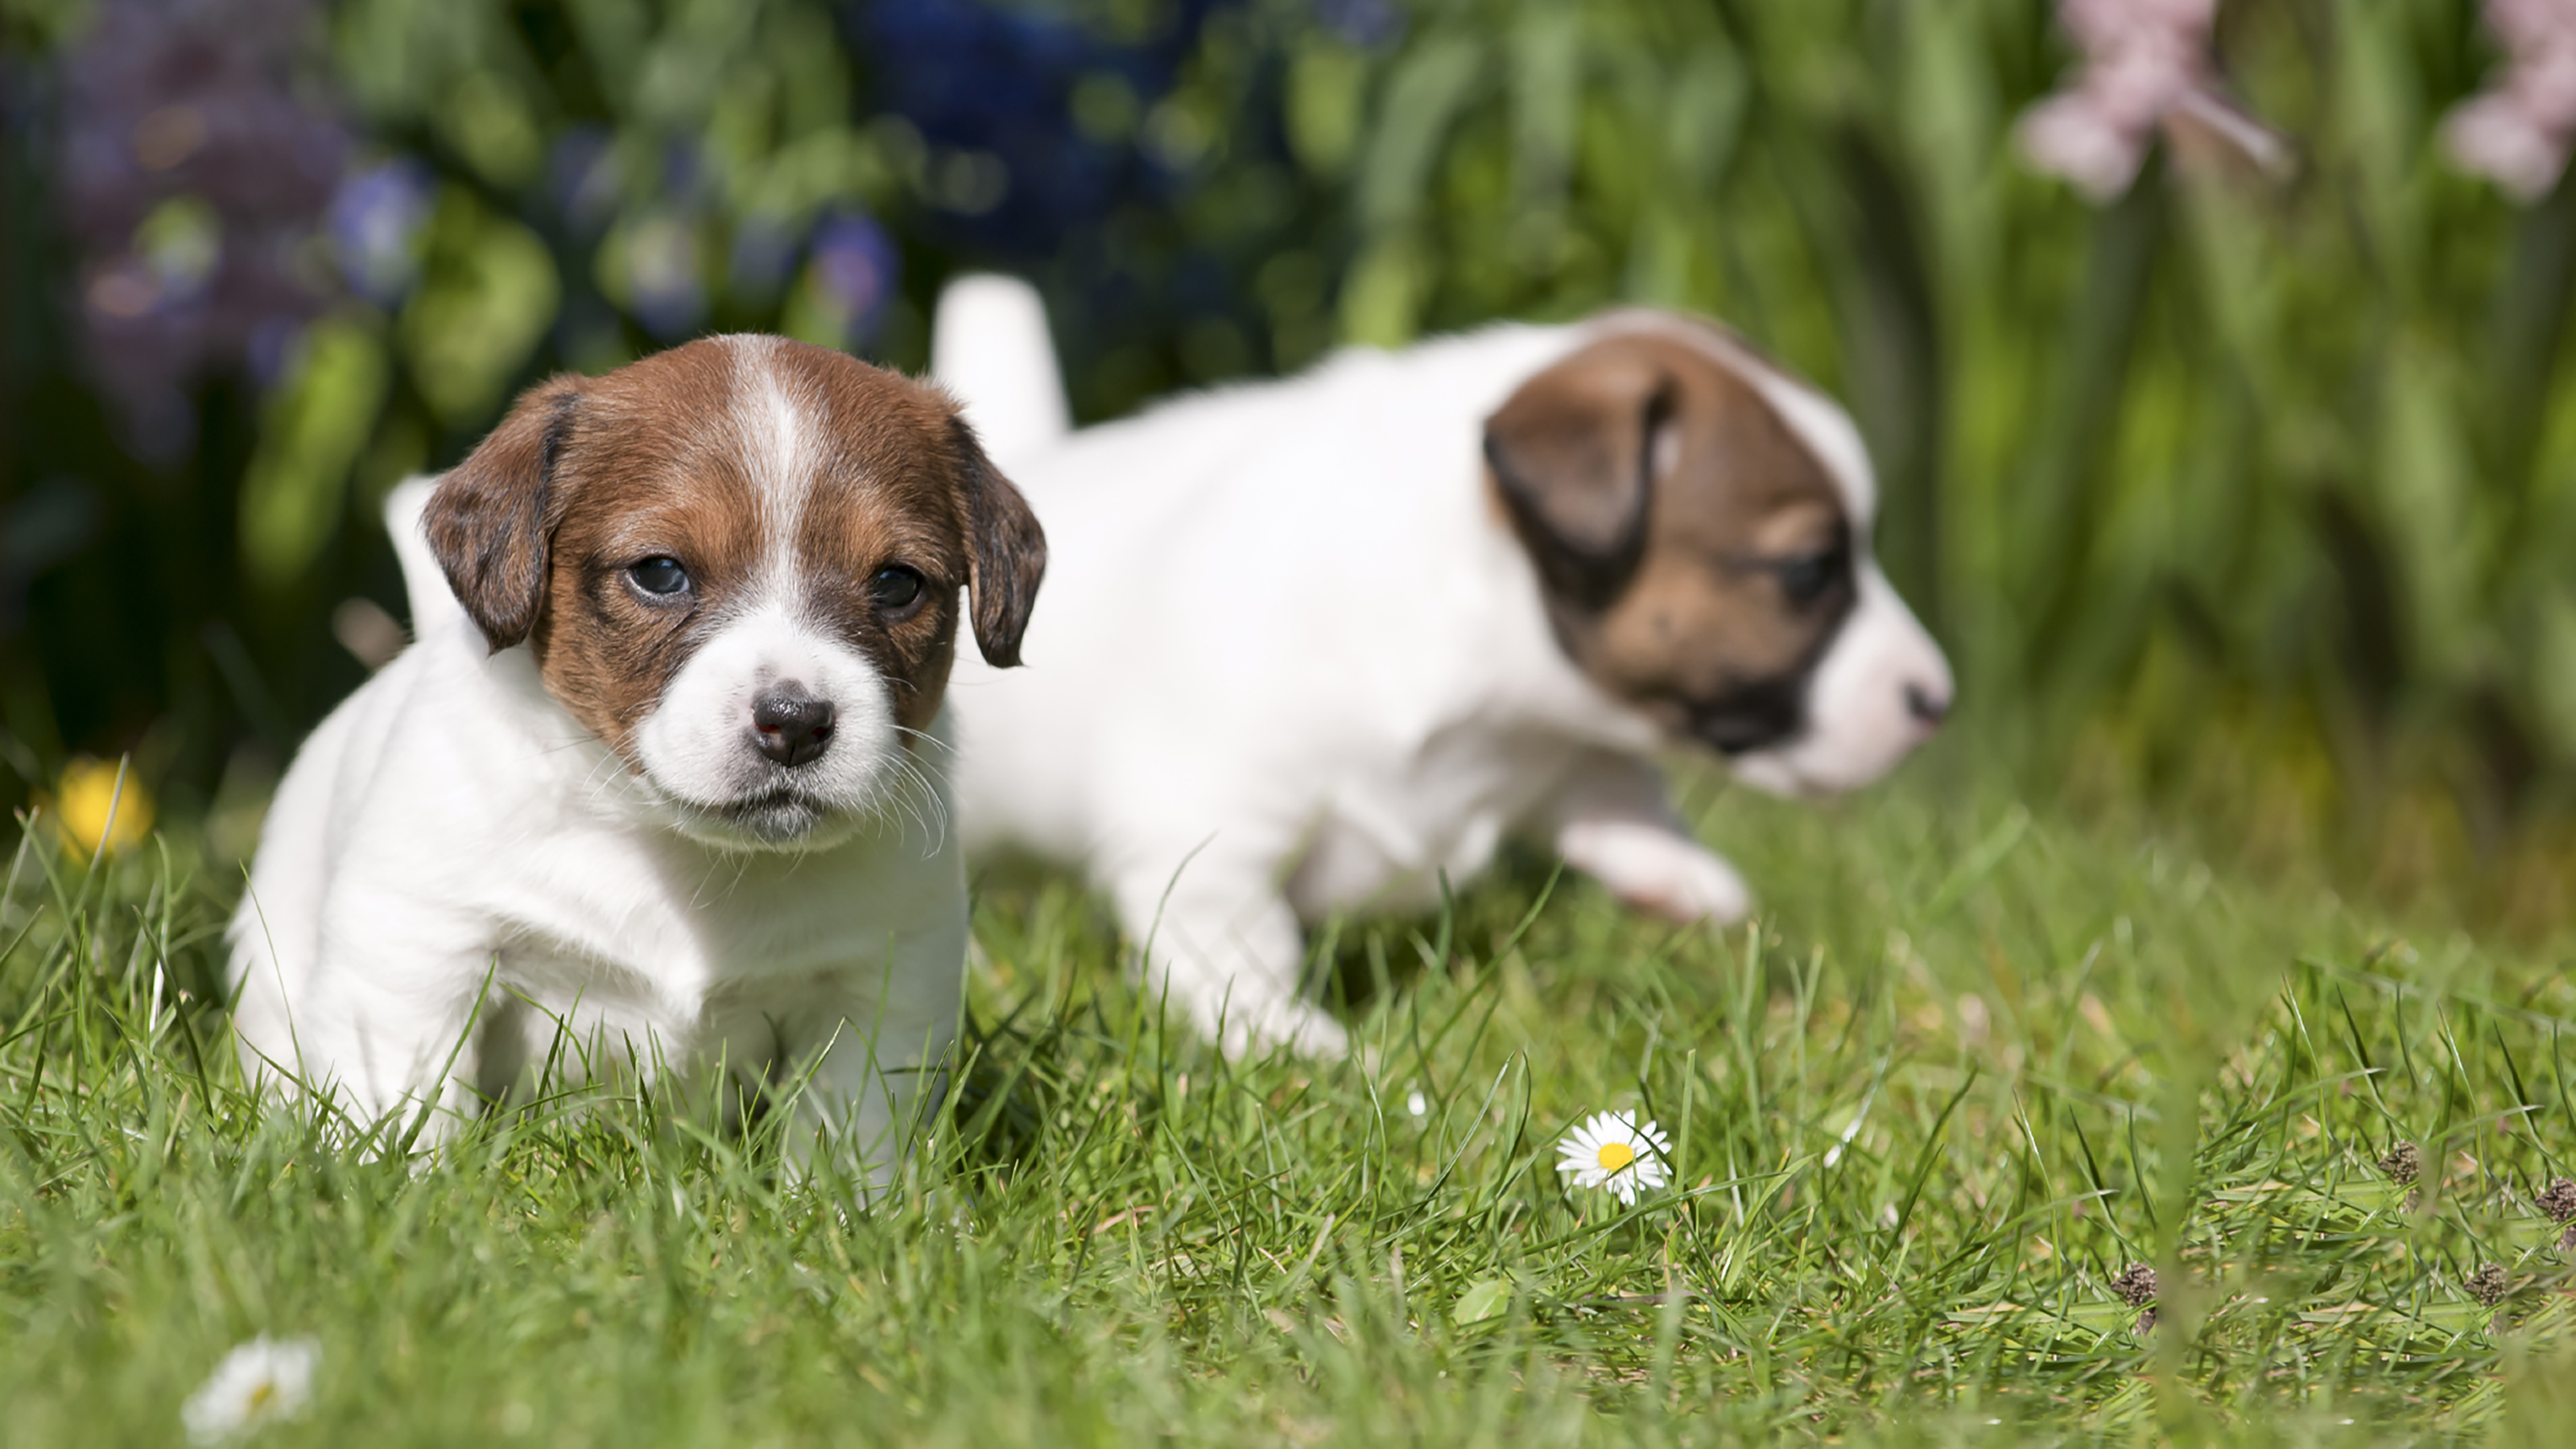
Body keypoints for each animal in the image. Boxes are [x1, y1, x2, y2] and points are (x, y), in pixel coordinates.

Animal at [226, 329, 1040, 1175]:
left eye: (898, 584)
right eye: (659, 573)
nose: (794, 722)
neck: (679, 849)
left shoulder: (881, 988)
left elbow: (849, 1139)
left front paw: (840, 1206)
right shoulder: (415, 948)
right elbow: (401, 1100)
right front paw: (400, 1184)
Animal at [937, 282, 1937, 1046]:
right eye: (1808, 571)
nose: (1937, 700)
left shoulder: (1554, 740)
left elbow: (1611, 781)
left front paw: (1675, 870)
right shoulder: (1209, 827)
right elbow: (1236, 948)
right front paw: (1290, 1045)